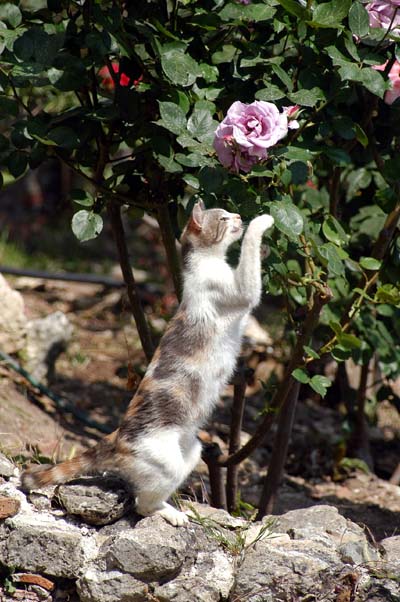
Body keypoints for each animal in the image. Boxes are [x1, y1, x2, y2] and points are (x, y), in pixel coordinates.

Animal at [20, 202, 274, 524]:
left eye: (230, 212)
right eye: (223, 218)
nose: (239, 216)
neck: (206, 262)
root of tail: (115, 436)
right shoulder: (242, 291)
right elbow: (250, 253)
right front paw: (263, 221)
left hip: (192, 448)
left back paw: (173, 509)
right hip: (167, 464)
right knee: (142, 504)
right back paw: (171, 515)